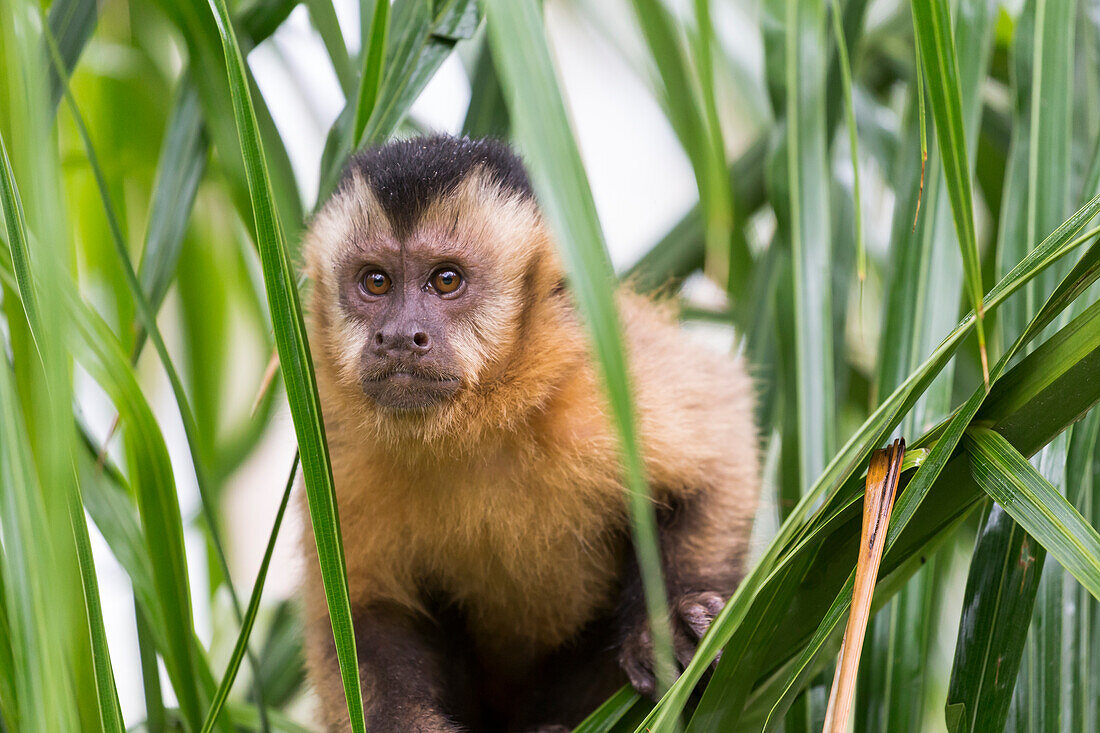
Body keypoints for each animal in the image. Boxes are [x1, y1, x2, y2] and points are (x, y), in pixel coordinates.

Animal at [301, 137, 765, 730]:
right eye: (375, 281)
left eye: (446, 280)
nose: (400, 336)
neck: (477, 423)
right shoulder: (338, 447)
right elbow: (361, 611)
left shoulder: (595, 381)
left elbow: (718, 451)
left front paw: (667, 626)